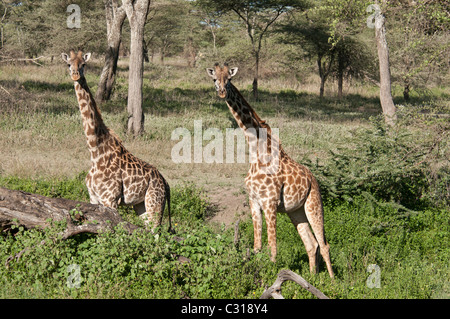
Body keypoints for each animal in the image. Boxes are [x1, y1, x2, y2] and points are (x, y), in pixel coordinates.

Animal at [63, 50, 174, 232]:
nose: (75, 74)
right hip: (141, 206)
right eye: (69, 64)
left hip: (155, 203)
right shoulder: (93, 198)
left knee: (157, 232)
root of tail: (165, 182)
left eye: (83, 64)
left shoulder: (110, 199)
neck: (95, 152)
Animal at [207, 62, 334, 278]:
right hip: (296, 211)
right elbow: (257, 246)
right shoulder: (254, 201)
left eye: (229, 79)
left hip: (314, 203)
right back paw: (313, 278)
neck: (256, 150)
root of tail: (313, 179)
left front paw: (272, 273)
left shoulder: (270, 202)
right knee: (311, 244)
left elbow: (272, 247)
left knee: (324, 244)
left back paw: (331, 282)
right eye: (215, 78)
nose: (222, 92)